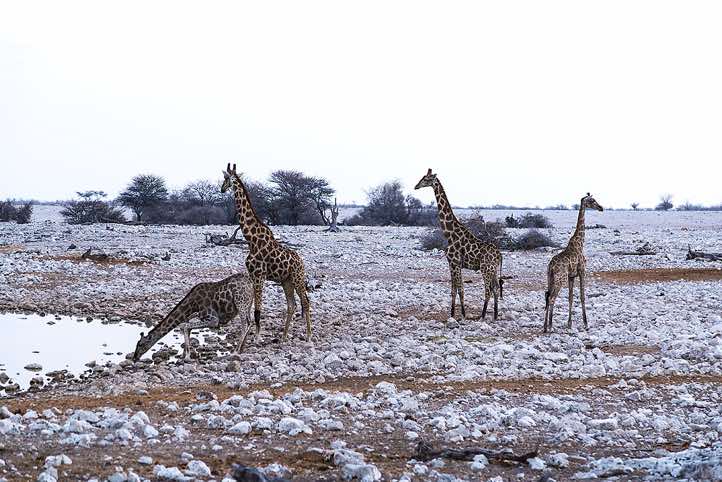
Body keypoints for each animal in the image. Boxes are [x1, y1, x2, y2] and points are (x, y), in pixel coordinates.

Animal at [221, 163, 312, 343]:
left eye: (226, 178)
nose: (221, 189)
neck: (251, 239)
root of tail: (301, 261)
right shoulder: (252, 275)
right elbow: (251, 308)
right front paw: (251, 334)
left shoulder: (259, 275)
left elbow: (257, 310)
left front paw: (257, 337)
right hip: (286, 281)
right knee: (292, 305)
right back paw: (284, 336)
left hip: (297, 278)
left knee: (305, 302)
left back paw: (309, 335)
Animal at [415, 169, 504, 321]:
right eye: (422, 177)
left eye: (426, 179)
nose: (416, 186)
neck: (450, 234)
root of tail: (499, 254)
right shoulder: (452, 264)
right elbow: (454, 289)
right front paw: (452, 314)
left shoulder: (455, 263)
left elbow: (460, 289)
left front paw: (461, 314)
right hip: (493, 270)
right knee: (496, 288)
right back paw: (495, 315)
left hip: (485, 269)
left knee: (488, 290)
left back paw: (482, 315)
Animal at [543, 193, 604, 333]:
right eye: (592, 200)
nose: (601, 208)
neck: (580, 244)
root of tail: (551, 266)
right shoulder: (582, 272)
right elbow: (582, 296)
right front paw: (586, 324)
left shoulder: (571, 276)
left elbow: (570, 298)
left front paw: (569, 324)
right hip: (560, 279)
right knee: (552, 298)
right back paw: (550, 327)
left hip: (550, 278)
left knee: (547, 296)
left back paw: (544, 327)